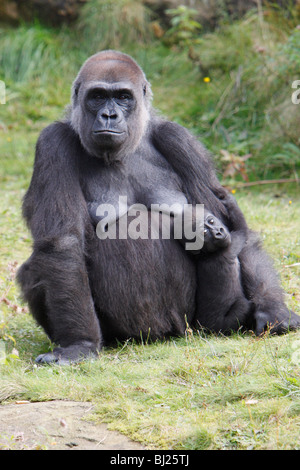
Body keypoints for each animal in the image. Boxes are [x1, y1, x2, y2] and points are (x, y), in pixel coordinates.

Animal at [193, 196, 252, 334]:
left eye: (211, 221)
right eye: (204, 232)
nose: (218, 232)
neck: (207, 254)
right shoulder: (231, 244)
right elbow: (243, 231)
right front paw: (230, 202)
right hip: (221, 326)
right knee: (243, 305)